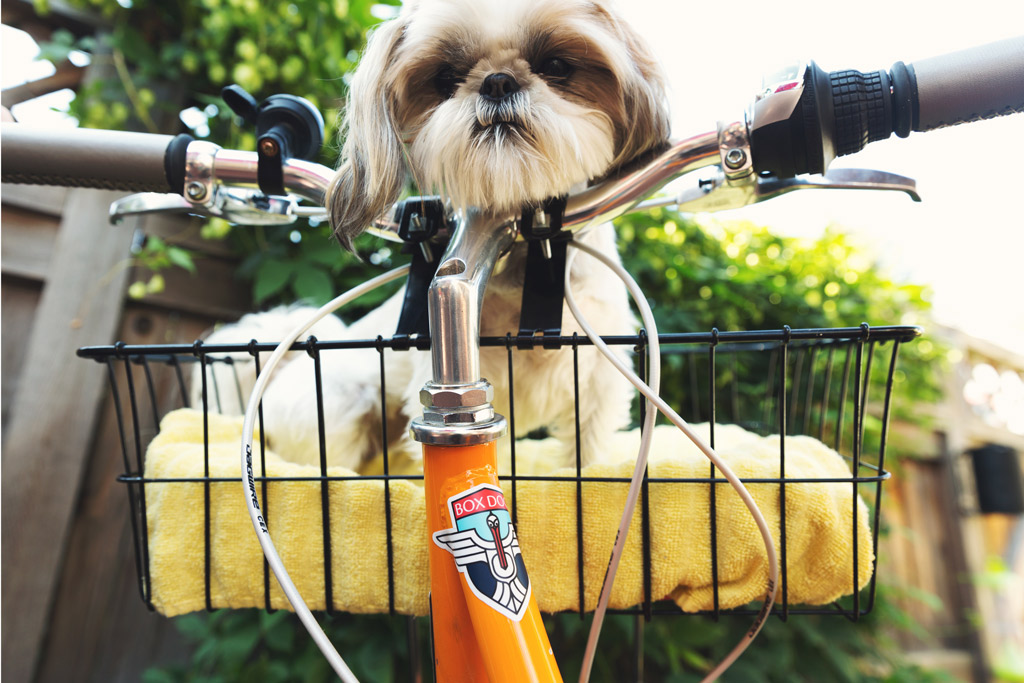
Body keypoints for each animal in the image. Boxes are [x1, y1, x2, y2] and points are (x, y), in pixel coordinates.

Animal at [195, 0, 671, 471]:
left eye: (556, 65)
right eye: (445, 77)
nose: (497, 82)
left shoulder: (596, 387)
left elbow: (586, 461)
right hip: (338, 410)